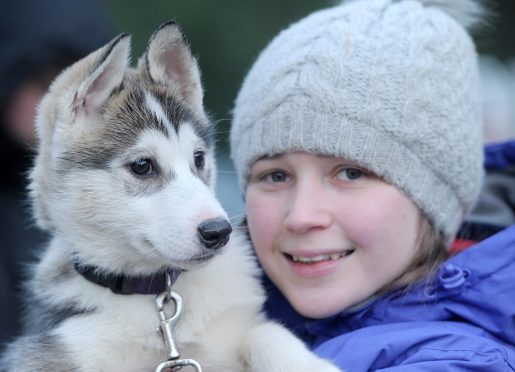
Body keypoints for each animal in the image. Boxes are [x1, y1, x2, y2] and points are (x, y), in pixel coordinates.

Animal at [1, 21, 342, 370]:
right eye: (142, 166)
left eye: (199, 158)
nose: (218, 232)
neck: (155, 293)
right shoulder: (61, 347)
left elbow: (264, 332)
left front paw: (309, 364)